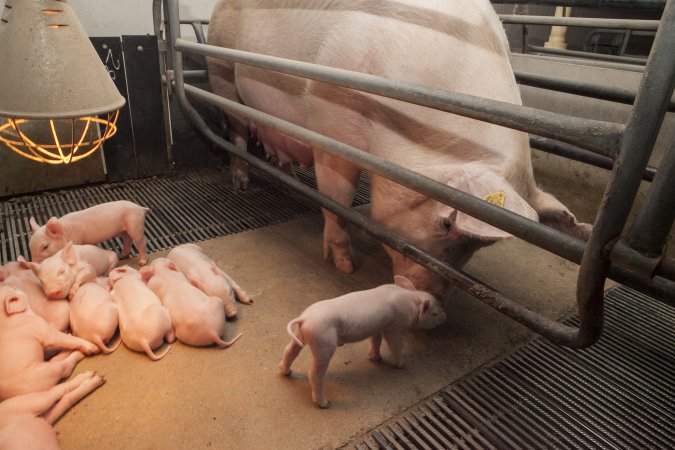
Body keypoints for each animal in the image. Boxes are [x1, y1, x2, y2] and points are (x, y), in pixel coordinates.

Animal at [207, 0, 592, 296]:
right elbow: (337, 198)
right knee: (236, 132)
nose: (433, 302)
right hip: (222, 72)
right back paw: (241, 184)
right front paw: (345, 266)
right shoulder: (329, 124)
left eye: (478, 246)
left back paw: (287, 174)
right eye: (446, 223)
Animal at [280, 276, 448, 410]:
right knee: (314, 373)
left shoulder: (378, 327)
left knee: (289, 350)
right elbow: (395, 345)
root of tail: (305, 319)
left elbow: (376, 341)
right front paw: (401, 365)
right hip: (324, 342)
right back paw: (325, 404)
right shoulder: (394, 328)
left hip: (301, 335)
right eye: (434, 313)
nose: (445, 316)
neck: (410, 298)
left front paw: (376, 358)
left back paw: (286, 372)